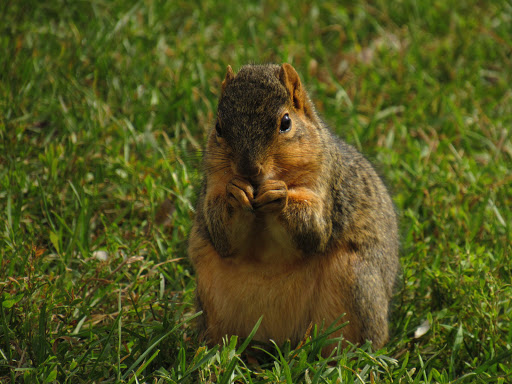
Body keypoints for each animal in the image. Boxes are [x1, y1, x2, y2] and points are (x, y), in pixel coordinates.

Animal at [188, 63, 400, 354]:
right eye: (219, 127)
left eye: (285, 123)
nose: (248, 169)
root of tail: (279, 341)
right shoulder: (213, 187)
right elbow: (222, 237)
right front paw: (236, 194)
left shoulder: (326, 185)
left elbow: (314, 232)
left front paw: (281, 196)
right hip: (209, 298)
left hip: (355, 283)